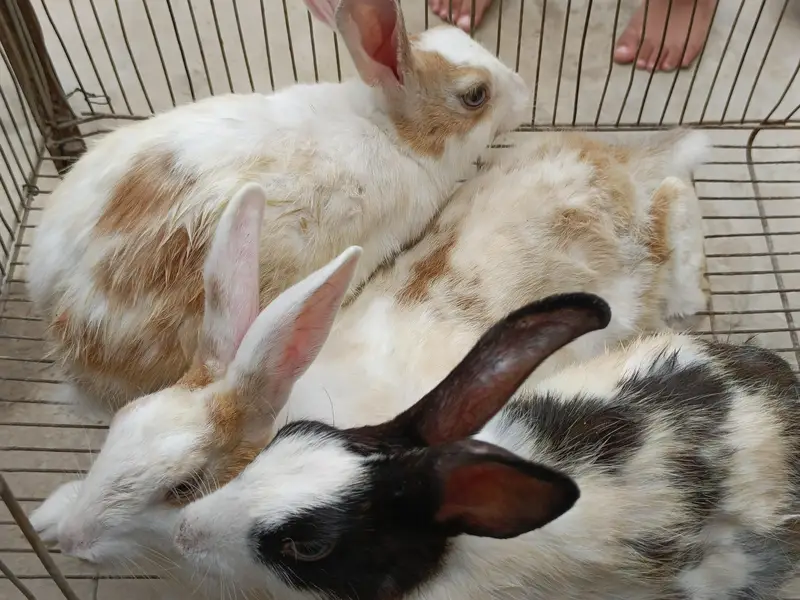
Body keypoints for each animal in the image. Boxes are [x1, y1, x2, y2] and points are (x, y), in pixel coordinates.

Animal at [30, 128, 710, 577]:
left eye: (182, 487)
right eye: (119, 424)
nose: (75, 543)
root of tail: (611, 163)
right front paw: (44, 517)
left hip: (641, 269)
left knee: (676, 201)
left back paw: (688, 290)